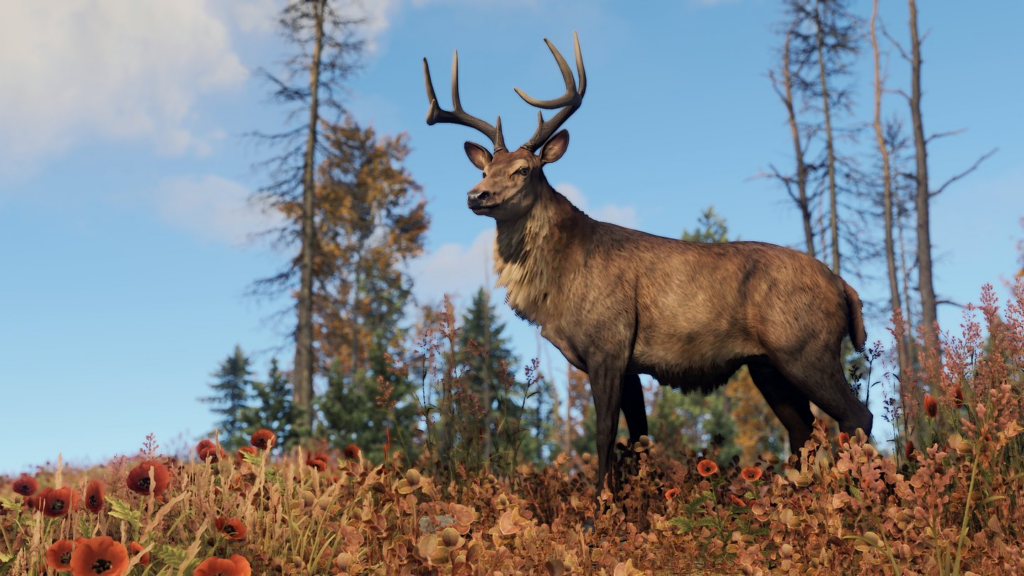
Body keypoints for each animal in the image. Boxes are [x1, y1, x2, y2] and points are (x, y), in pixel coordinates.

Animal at [423, 31, 872, 487]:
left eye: (524, 170)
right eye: (484, 171)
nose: (476, 195)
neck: (558, 287)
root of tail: (845, 288)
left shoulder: (609, 343)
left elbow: (605, 434)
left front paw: (599, 500)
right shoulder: (629, 365)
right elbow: (639, 439)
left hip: (806, 348)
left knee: (857, 415)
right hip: (767, 365)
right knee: (802, 429)